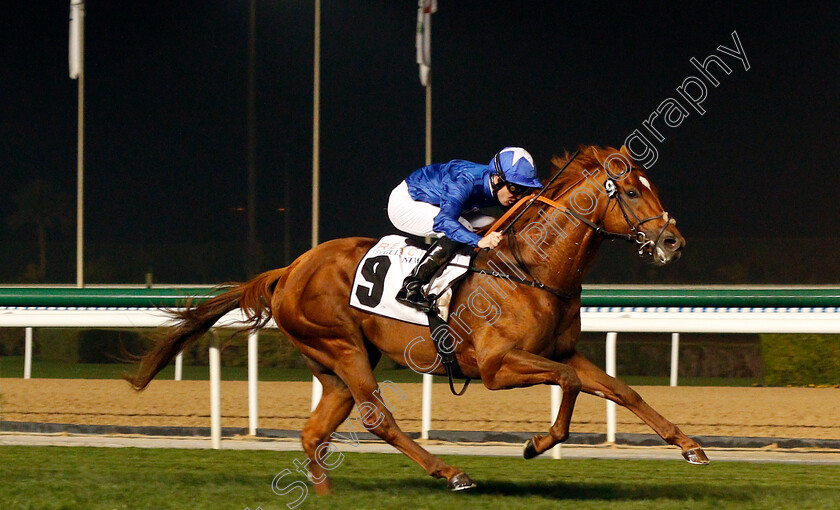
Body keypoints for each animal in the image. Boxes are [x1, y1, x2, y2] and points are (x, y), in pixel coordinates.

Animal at [126, 144, 708, 494]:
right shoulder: (497, 366)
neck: (531, 268)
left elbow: (620, 390)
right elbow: (567, 385)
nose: (673, 242)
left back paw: (324, 491)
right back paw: (450, 472)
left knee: (317, 429)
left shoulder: (561, 351)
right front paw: (535, 444)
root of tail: (289, 268)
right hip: (341, 347)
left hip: (335, 363)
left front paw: (690, 446)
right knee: (376, 418)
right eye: (630, 191)